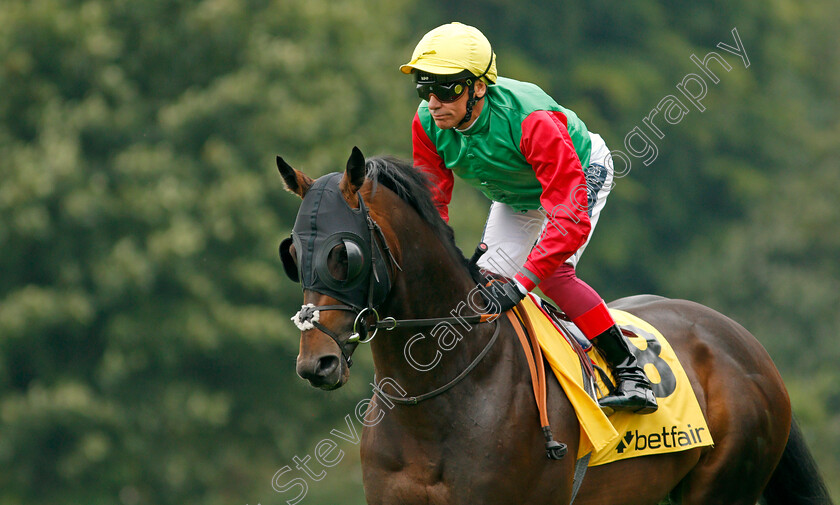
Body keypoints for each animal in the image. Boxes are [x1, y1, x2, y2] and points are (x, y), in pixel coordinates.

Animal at [278, 147, 832, 504]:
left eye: (343, 254)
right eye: (294, 254)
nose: (315, 363)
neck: (438, 397)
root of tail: (745, 343)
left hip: (723, 485)